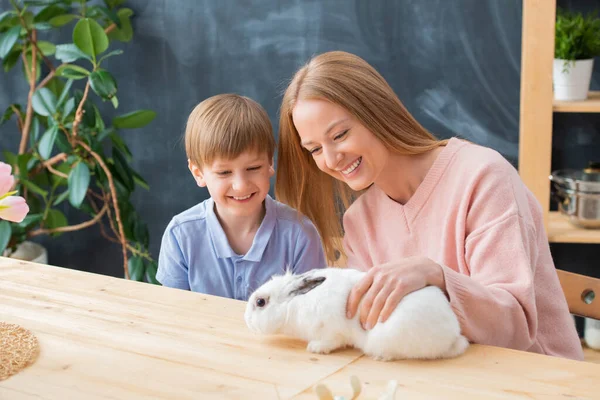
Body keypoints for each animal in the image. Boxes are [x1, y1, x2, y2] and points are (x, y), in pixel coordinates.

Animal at [244, 268, 468, 360]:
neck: (293, 305)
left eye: (260, 302)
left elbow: (330, 341)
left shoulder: (330, 330)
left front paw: (315, 349)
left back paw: (381, 357)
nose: (246, 319)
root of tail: (452, 337)